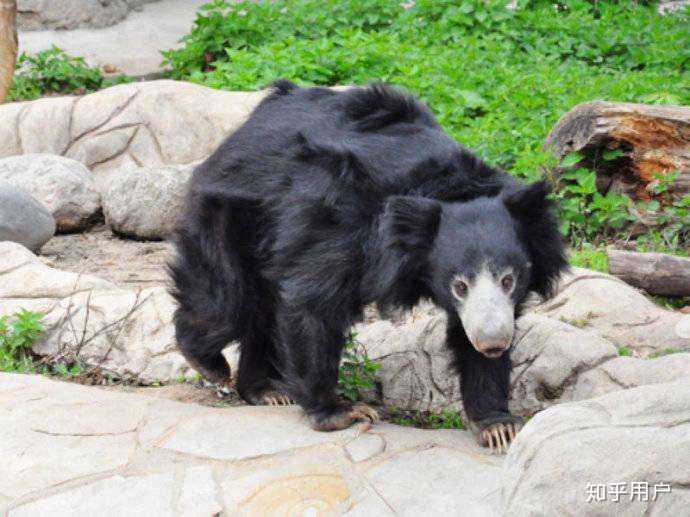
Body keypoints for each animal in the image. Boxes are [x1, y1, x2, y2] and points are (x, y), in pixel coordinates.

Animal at [169, 80, 568, 453]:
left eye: (509, 279)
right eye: (459, 285)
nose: (494, 343)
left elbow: (466, 337)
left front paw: (497, 425)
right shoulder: (344, 222)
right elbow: (313, 301)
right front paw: (339, 412)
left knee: (262, 306)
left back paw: (266, 391)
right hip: (236, 212)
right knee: (229, 300)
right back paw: (209, 362)